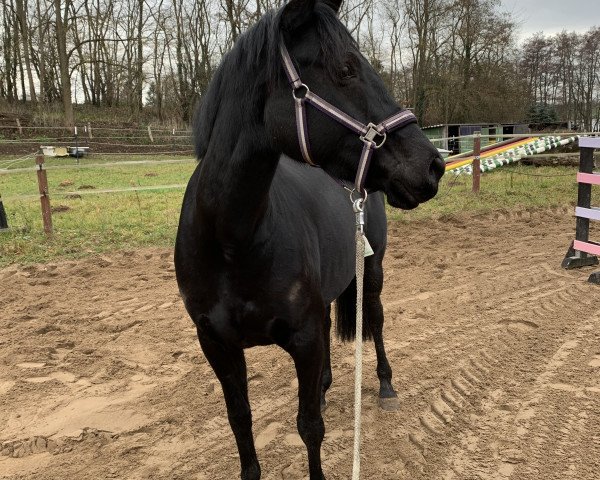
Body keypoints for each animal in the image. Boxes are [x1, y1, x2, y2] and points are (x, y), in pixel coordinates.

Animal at [175, 0, 446, 480]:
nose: (433, 164)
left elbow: (309, 427)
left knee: (375, 322)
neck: (232, 242)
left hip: (371, 272)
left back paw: (385, 386)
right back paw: (324, 386)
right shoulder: (216, 344)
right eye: (345, 69)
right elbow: (240, 421)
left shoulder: (302, 339)